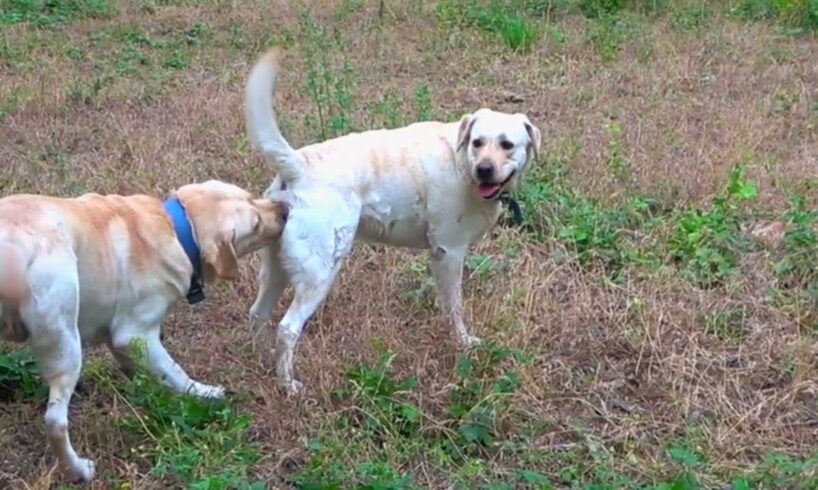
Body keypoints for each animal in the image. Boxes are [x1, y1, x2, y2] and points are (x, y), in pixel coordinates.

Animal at [0, 181, 290, 482]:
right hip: (65, 345)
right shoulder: (136, 334)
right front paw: (205, 392)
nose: (286, 209)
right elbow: (176, 372)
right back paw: (79, 469)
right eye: (255, 225)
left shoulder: (120, 339)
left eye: (251, 196)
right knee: (55, 421)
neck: (179, 230)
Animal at [242, 48, 540, 394]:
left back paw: (264, 362)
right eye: (478, 142)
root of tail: (298, 165)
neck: (461, 160)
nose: (485, 170)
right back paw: (289, 385)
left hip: (277, 267)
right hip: (318, 274)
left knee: (258, 313)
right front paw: (462, 342)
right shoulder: (449, 251)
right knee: (287, 329)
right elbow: (454, 307)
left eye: (507, 145)